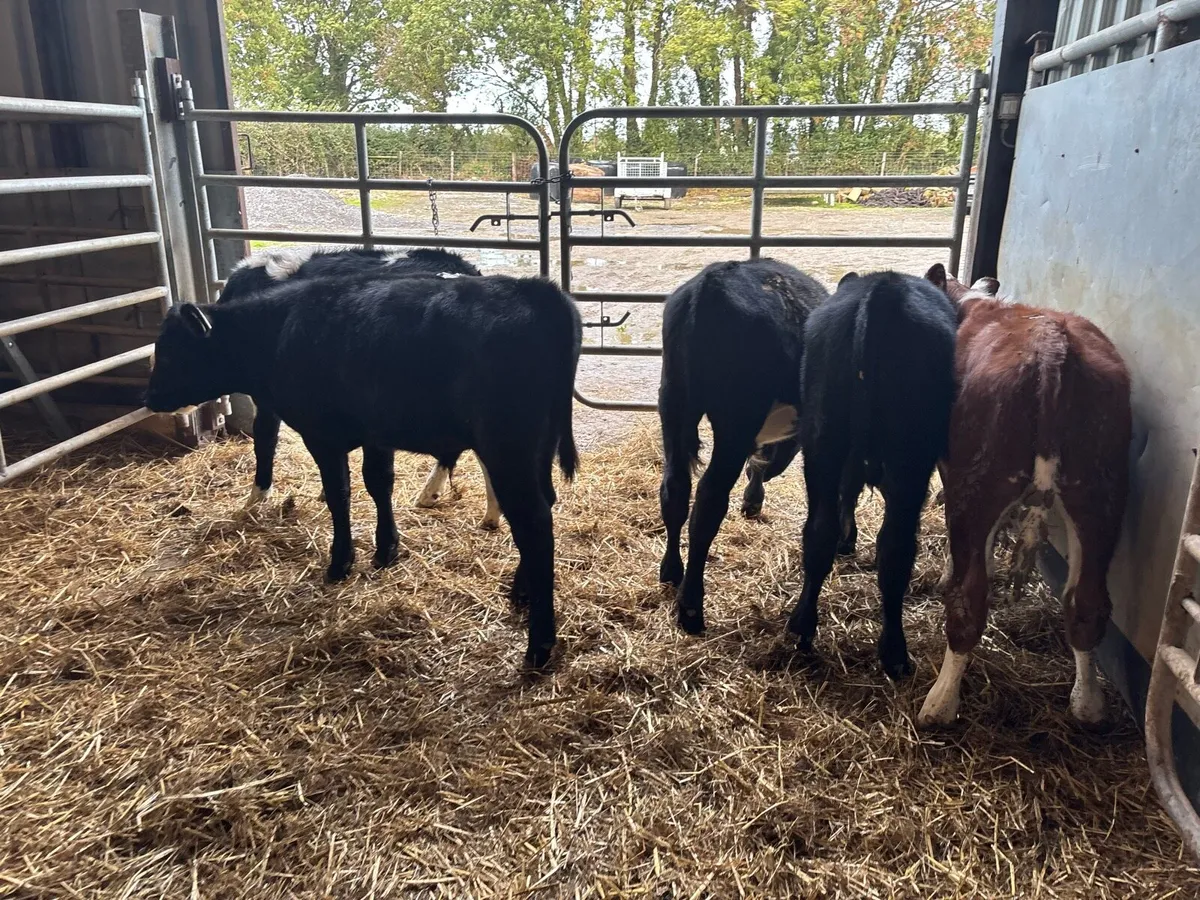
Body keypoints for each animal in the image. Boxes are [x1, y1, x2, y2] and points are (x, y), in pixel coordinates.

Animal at [657, 259, 829, 634]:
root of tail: (710, 284)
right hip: (736, 420)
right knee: (708, 499)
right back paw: (691, 607)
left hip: (674, 402)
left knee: (675, 489)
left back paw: (672, 571)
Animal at [786, 270, 957, 679]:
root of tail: (882, 291)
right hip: (909, 463)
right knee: (895, 549)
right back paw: (894, 652)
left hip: (822, 442)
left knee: (818, 531)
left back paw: (802, 626)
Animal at [918, 266, 1131, 727]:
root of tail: (1053, 344)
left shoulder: (950, 467)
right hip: (1101, 492)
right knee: (1086, 602)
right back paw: (1087, 704)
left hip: (977, 486)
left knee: (968, 603)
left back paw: (940, 703)